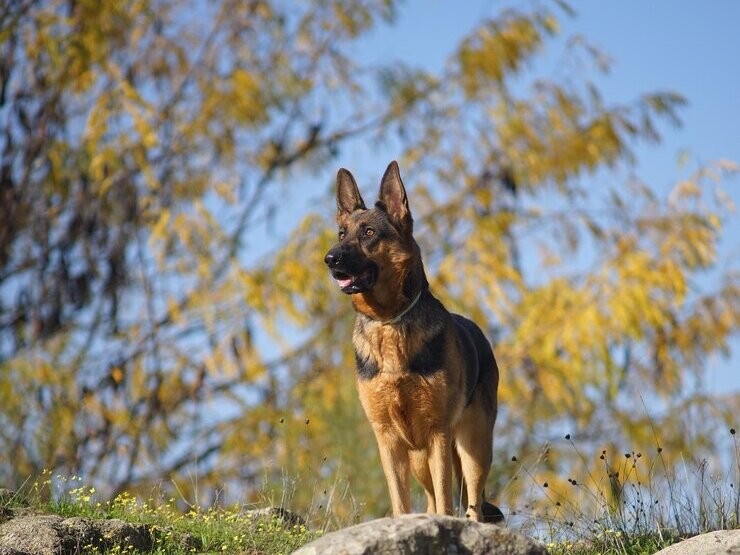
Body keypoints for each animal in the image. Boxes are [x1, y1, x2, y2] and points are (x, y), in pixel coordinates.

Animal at [324, 162, 502, 524]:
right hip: (420, 458)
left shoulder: (437, 434)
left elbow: (449, 502)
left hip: (472, 448)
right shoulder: (389, 440)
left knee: (471, 503)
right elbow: (401, 503)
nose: (330, 259)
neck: (391, 322)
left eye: (368, 233)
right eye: (341, 234)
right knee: (433, 501)